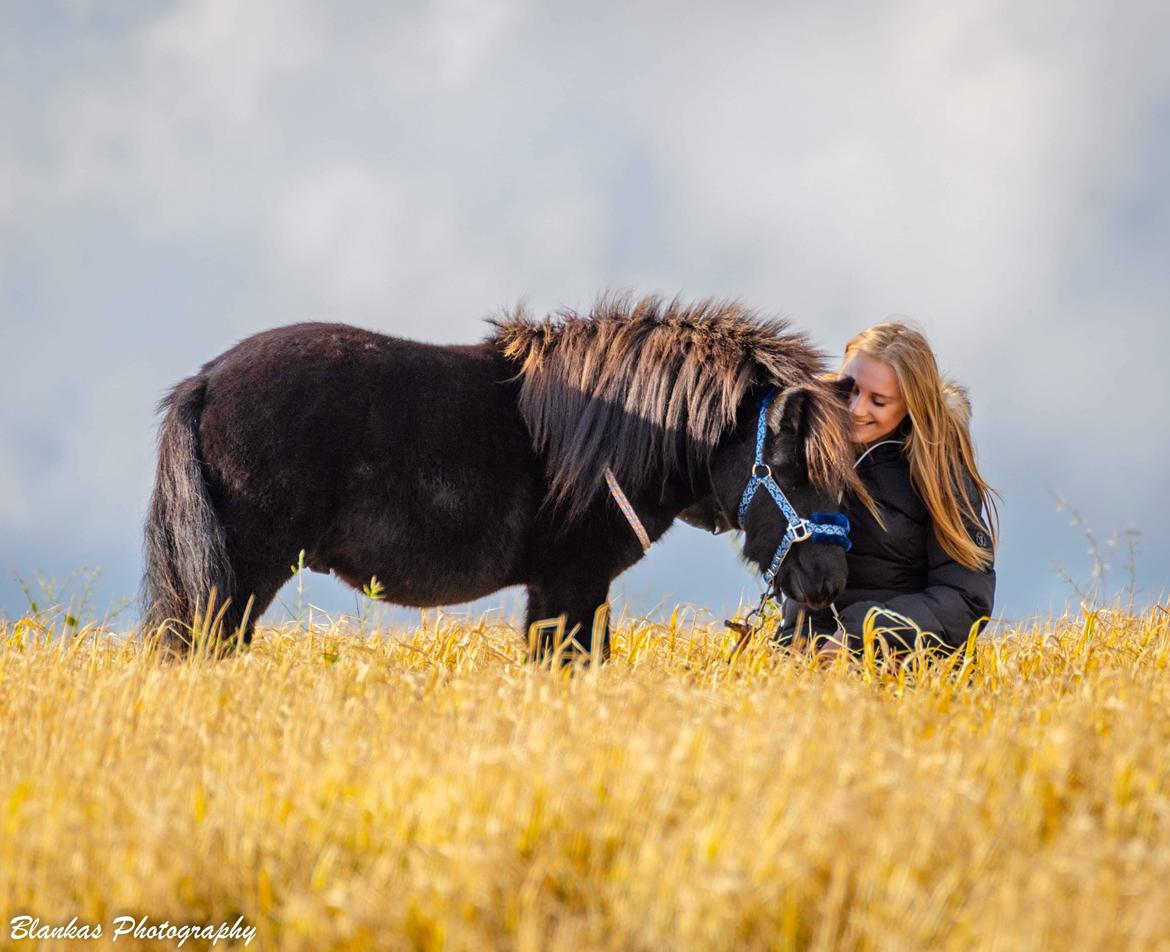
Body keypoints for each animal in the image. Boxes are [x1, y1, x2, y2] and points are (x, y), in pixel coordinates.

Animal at [141, 294, 865, 659]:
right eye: (786, 466)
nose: (831, 582)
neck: (621, 431)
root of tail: (207, 380)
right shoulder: (573, 583)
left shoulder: (558, 590)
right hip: (238, 580)